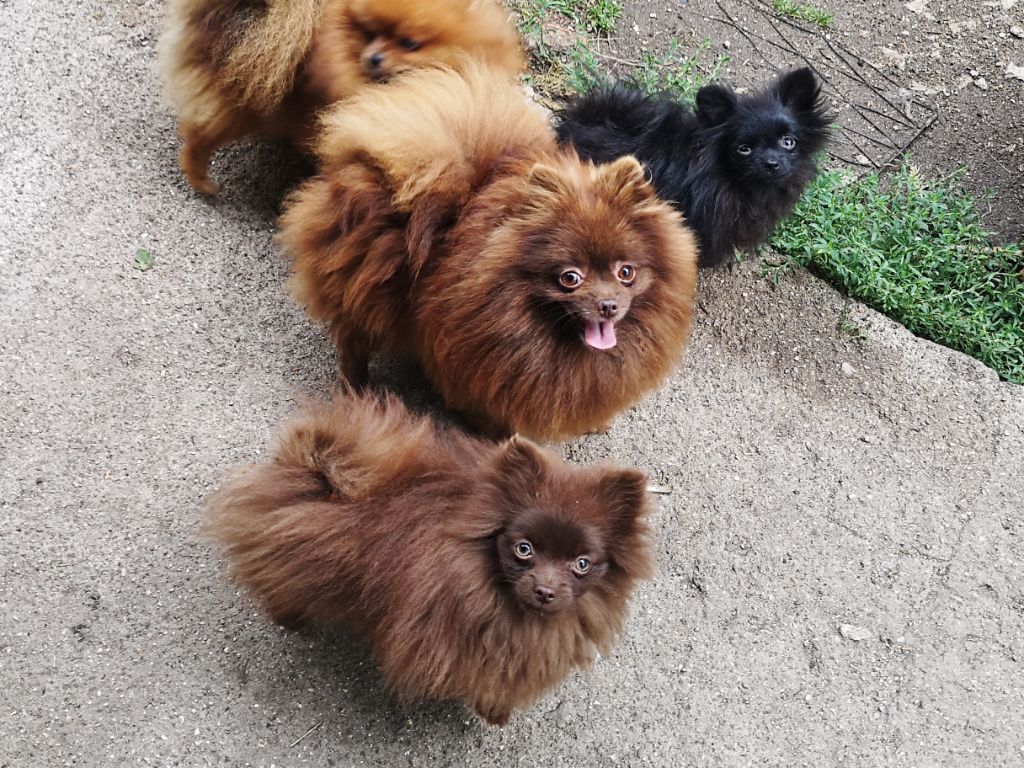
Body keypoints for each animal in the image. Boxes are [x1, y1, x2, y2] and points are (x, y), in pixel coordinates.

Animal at [164, 0, 528, 195]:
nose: (373, 58)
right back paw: (200, 180)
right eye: (371, 32)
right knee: (199, 139)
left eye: (409, 43)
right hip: (240, 107)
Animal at [276, 63, 700, 442]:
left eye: (625, 272)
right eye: (570, 278)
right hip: (363, 289)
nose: (608, 305)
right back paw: (357, 386)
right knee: (353, 341)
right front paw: (502, 435)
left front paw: (593, 423)